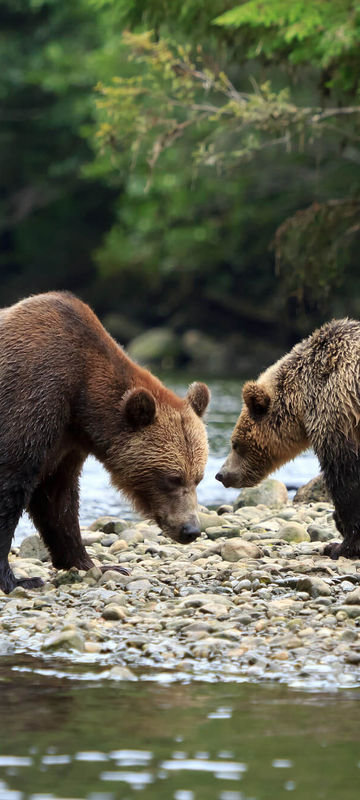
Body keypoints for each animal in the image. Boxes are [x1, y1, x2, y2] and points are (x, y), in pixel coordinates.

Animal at [0, 290, 211, 592]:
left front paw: (93, 563)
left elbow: (58, 500)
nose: (191, 529)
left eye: (199, 478)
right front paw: (18, 579)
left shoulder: (66, 443)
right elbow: (12, 481)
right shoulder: (30, 400)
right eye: (172, 478)